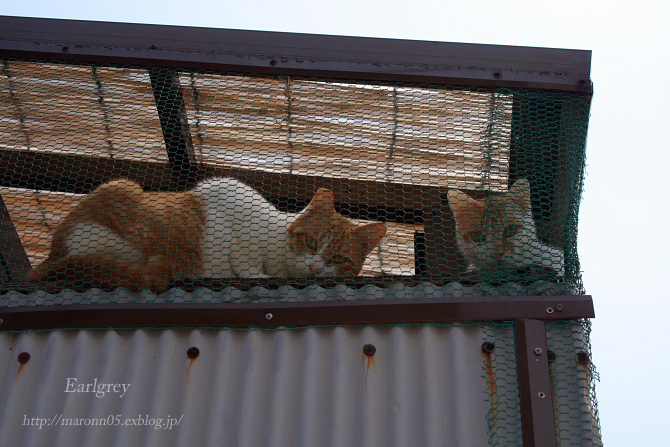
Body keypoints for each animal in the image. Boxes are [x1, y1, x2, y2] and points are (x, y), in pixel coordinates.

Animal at [27, 177, 388, 296]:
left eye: (337, 258)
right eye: (312, 242)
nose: (315, 267)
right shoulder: (223, 195)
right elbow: (237, 250)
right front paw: (251, 270)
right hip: (123, 193)